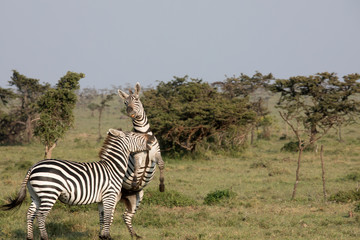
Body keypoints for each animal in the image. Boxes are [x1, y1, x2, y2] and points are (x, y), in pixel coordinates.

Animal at [1, 129, 156, 240]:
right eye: (134, 134)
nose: (152, 137)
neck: (113, 167)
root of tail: (33, 167)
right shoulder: (110, 195)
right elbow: (108, 217)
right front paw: (107, 236)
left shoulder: (101, 199)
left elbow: (102, 217)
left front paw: (102, 236)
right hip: (49, 193)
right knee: (41, 215)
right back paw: (45, 238)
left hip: (36, 195)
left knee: (30, 214)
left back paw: (30, 237)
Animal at [116, 82, 165, 238]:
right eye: (125, 102)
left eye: (136, 99)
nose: (129, 111)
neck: (143, 134)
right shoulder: (137, 156)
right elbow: (137, 168)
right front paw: (135, 181)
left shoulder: (156, 154)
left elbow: (162, 164)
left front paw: (162, 186)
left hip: (137, 197)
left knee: (126, 216)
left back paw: (134, 235)